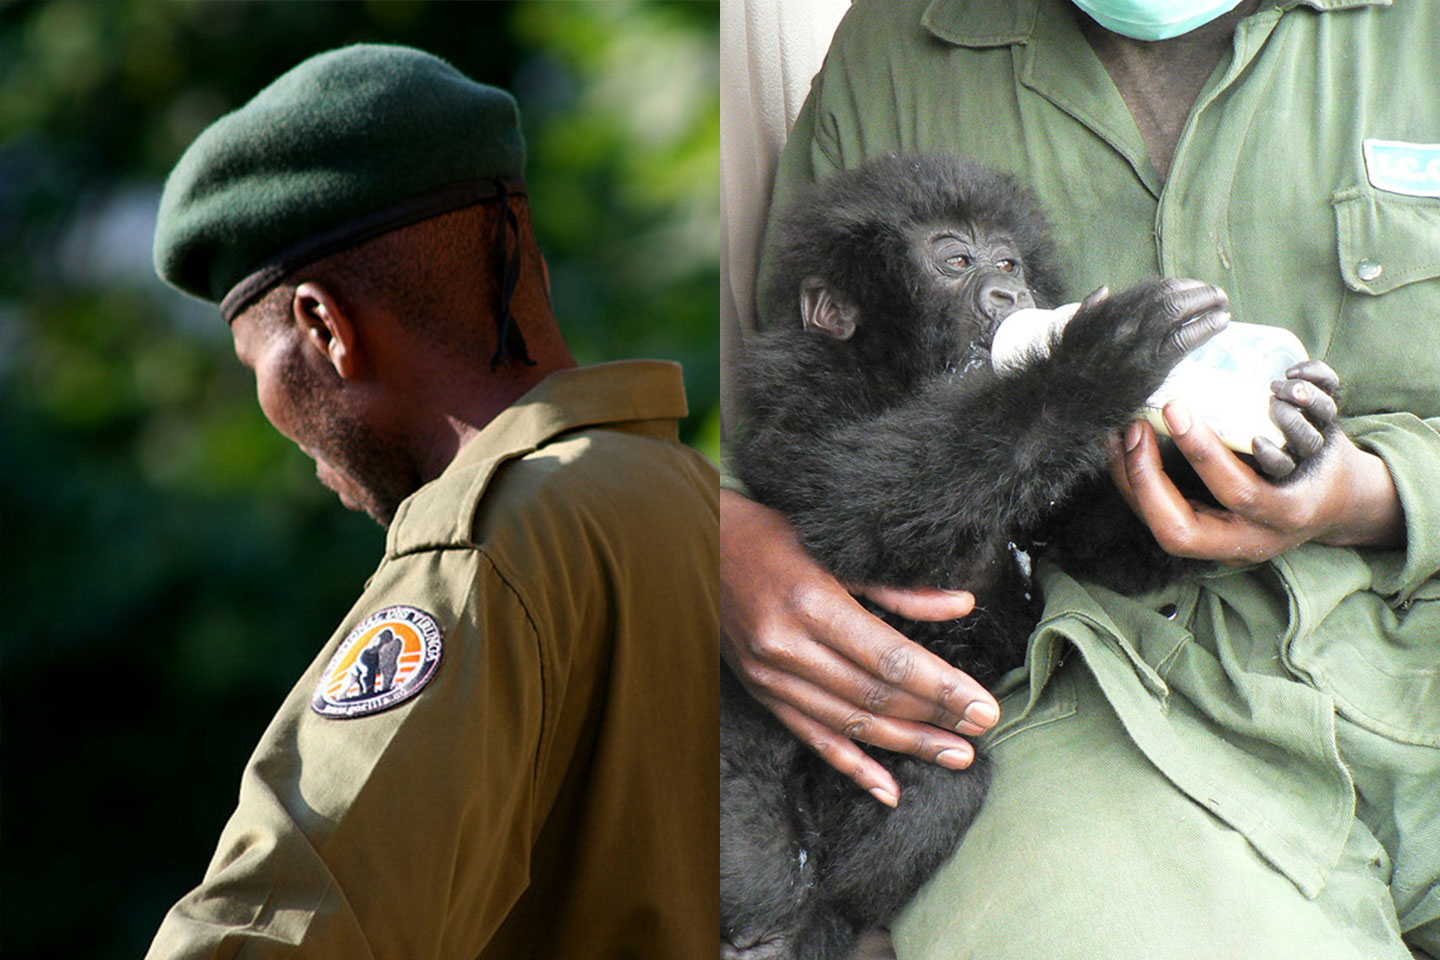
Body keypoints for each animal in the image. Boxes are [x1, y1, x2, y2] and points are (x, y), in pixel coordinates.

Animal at [720, 154, 1336, 955]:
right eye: (955, 260)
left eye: (1008, 260)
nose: (1010, 294)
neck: (899, 378)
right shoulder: (798, 377)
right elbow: (844, 500)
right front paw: (1089, 366)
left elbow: (1094, 550)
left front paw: (1282, 437)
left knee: (943, 781)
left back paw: (819, 918)